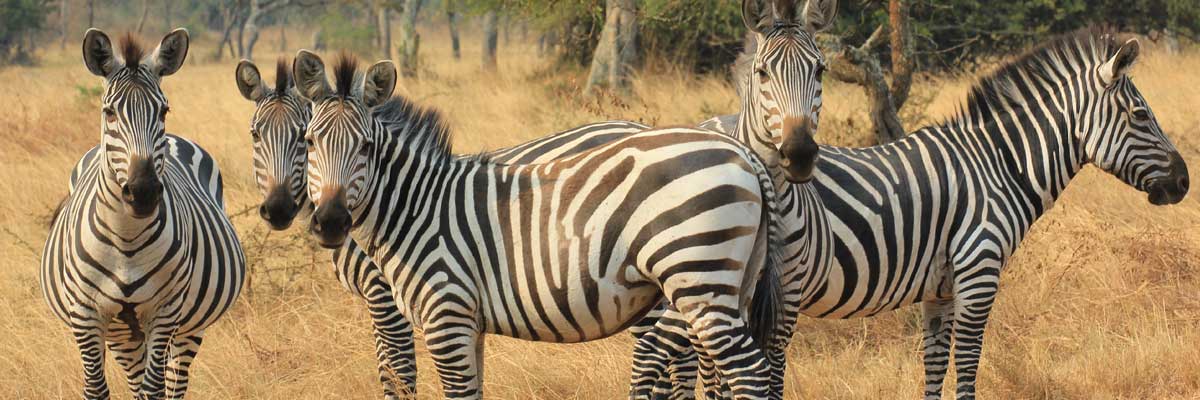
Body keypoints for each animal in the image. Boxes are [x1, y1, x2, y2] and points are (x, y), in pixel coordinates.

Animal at [41, 28, 244, 398]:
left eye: (163, 111)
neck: (126, 238)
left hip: (188, 326)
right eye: (109, 113)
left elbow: (154, 389)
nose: (144, 191)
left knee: (173, 383)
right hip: (122, 334)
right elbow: (97, 388)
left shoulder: (164, 312)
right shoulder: (86, 315)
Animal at [291, 50, 801, 398]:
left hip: (699, 277)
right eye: (310, 142)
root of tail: (744, 153)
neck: (417, 208)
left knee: (748, 371)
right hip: (732, 283)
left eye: (366, 148)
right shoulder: (470, 322)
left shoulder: (446, 313)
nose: (330, 223)